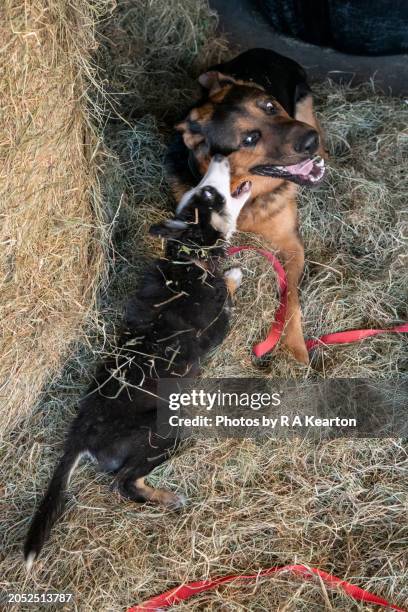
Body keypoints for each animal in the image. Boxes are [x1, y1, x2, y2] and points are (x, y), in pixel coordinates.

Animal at [23, 155, 252, 568]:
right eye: (209, 194)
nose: (219, 156)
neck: (187, 258)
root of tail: (79, 436)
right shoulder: (217, 325)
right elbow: (228, 286)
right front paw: (234, 273)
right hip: (165, 433)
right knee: (124, 483)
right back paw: (168, 498)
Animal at [167, 49, 326, 364]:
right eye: (250, 139)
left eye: (270, 106)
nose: (309, 141)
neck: (243, 190)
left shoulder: (291, 246)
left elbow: (290, 298)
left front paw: (294, 346)